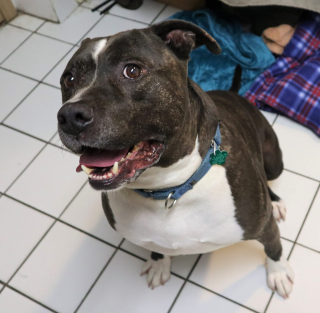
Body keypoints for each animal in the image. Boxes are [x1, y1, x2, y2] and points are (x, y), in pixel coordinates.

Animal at [58, 19, 296, 298]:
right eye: (69, 78)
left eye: (132, 70)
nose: (69, 116)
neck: (168, 189)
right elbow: (157, 248)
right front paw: (159, 263)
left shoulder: (264, 226)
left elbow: (274, 247)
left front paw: (278, 272)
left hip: (274, 162)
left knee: (269, 179)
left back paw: (276, 202)